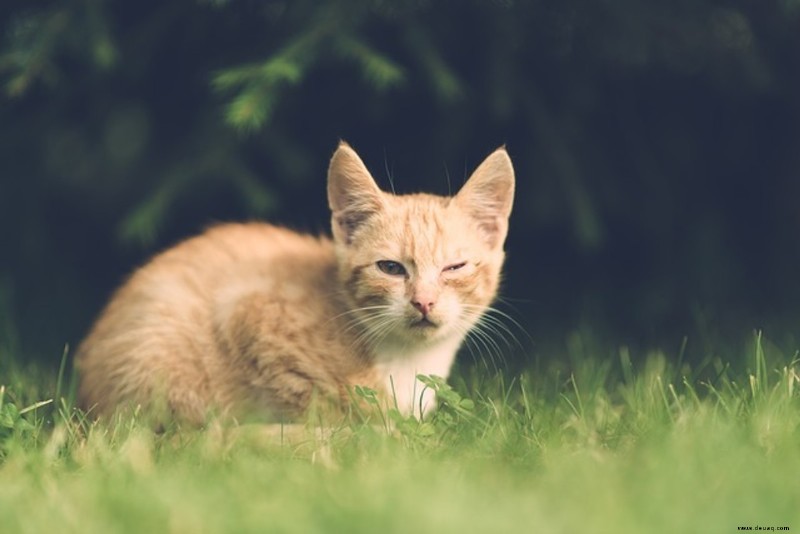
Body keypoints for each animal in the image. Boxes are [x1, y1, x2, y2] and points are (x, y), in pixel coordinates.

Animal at [75, 142, 512, 428]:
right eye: (390, 268)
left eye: (454, 267)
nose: (423, 302)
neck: (408, 360)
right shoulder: (246, 312)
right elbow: (316, 400)